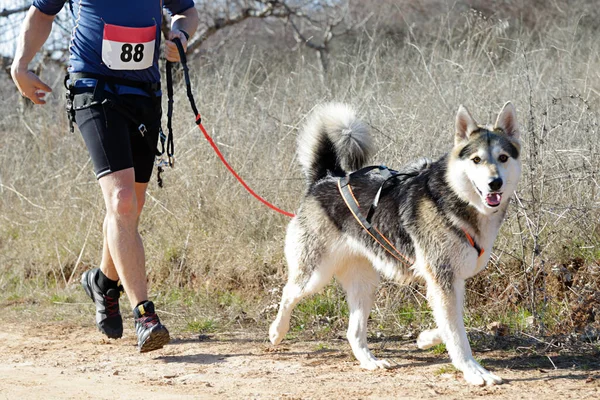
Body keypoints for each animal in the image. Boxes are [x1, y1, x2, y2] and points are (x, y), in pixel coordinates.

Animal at [268, 101, 520, 386]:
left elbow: (452, 323)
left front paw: (425, 339)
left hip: (364, 285)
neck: (454, 199)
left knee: (353, 332)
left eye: (503, 158)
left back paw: (370, 361)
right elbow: (457, 334)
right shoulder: (442, 279)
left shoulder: (449, 282)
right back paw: (277, 332)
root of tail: (328, 177)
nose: (495, 183)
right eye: (476, 159)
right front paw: (473, 370)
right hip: (314, 276)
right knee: (288, 294)